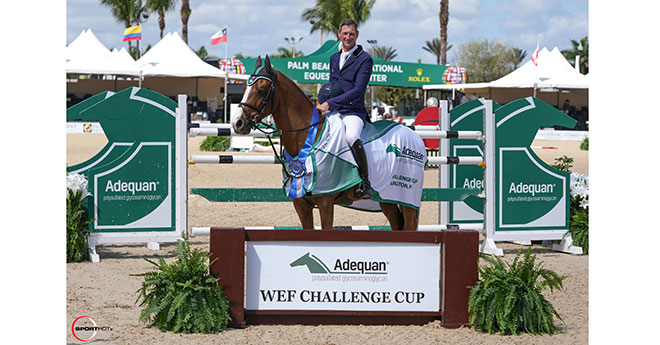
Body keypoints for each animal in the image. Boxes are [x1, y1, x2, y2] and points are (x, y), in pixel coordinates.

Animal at [232, 55, 418, 230]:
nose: (237, 123)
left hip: (407, 200)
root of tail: (411, 133)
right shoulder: (301, 204)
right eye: (244, 88)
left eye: (262, 89)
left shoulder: (326, 203)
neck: (307, 137)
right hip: (387, 199)